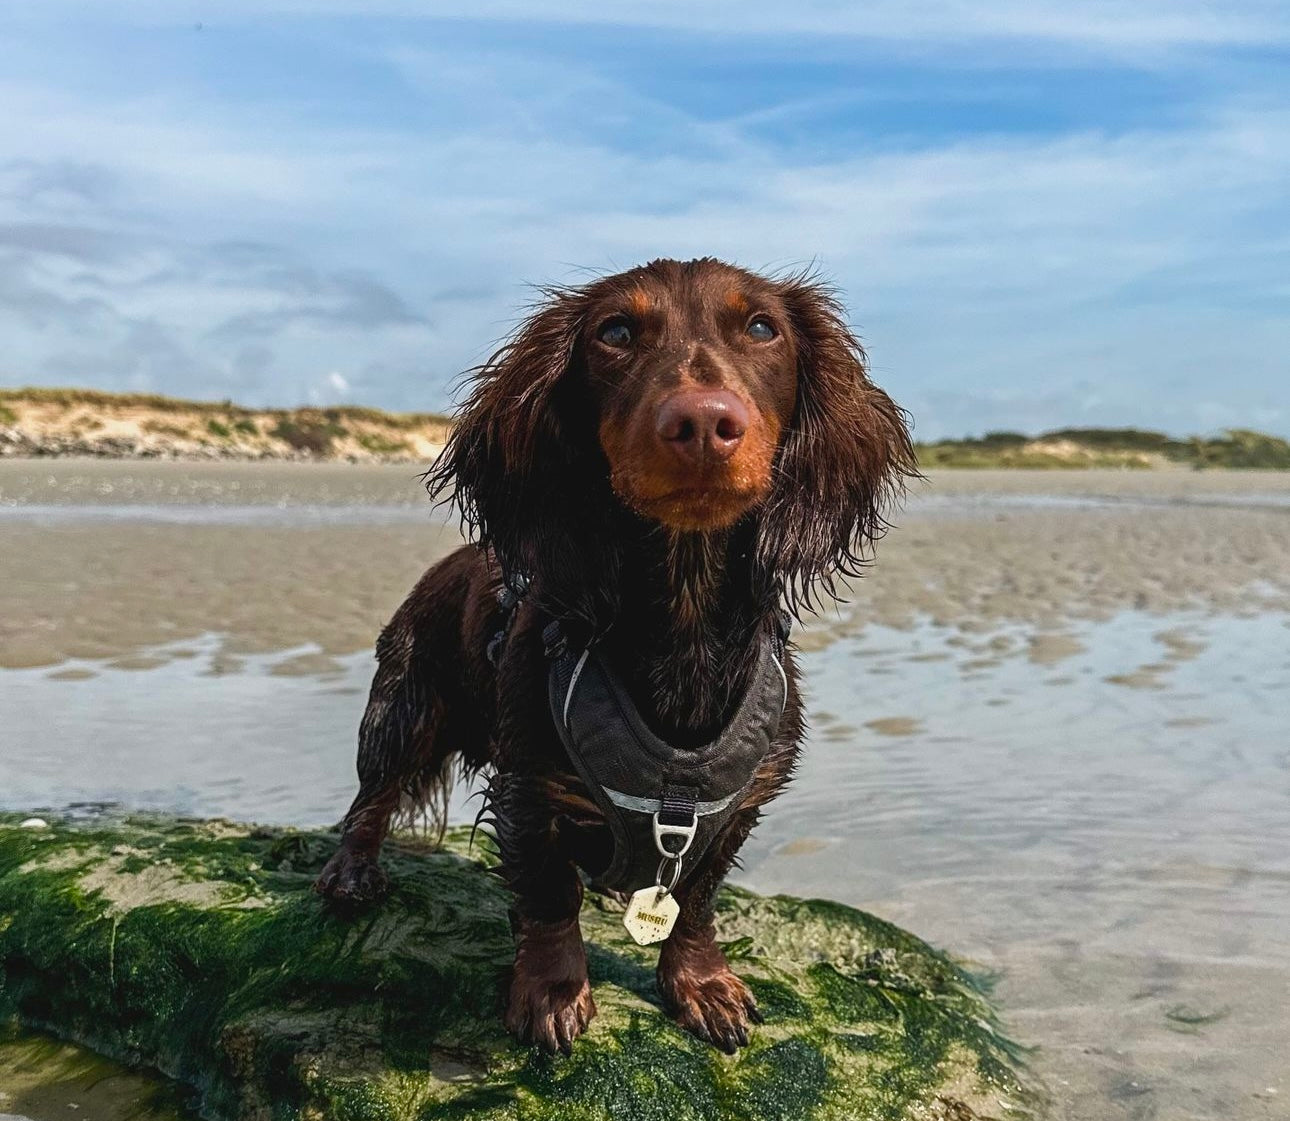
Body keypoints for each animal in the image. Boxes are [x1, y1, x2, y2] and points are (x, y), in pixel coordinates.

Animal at [316, 257, 913, 1052]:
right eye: (617, 332)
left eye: (763, 329)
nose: (702, 423)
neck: (683, 622)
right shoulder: (531, 786)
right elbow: (547, 894)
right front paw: (552, 991)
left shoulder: (741, 804)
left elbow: (696, 898)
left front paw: (702, 984)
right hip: (402, 710)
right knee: (372, 797)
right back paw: (351, 872)